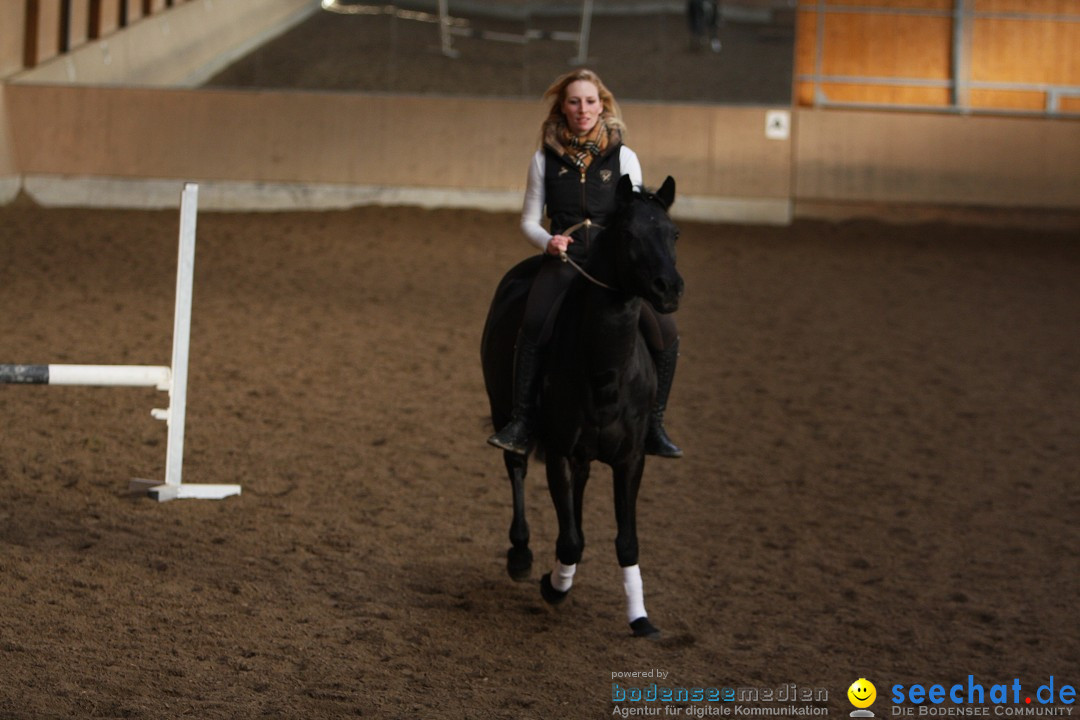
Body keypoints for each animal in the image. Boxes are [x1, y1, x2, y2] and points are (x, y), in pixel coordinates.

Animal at [481, 174, 682, 634]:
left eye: (674, 234)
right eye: (628, 234)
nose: (669, 289)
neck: (605, 372)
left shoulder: (630, 459)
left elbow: (626, 541)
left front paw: (640, 617)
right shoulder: (558, 451)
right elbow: (571, 541)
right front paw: (554, 586)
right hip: (504, 410)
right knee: (515, 466)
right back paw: (521, 554)